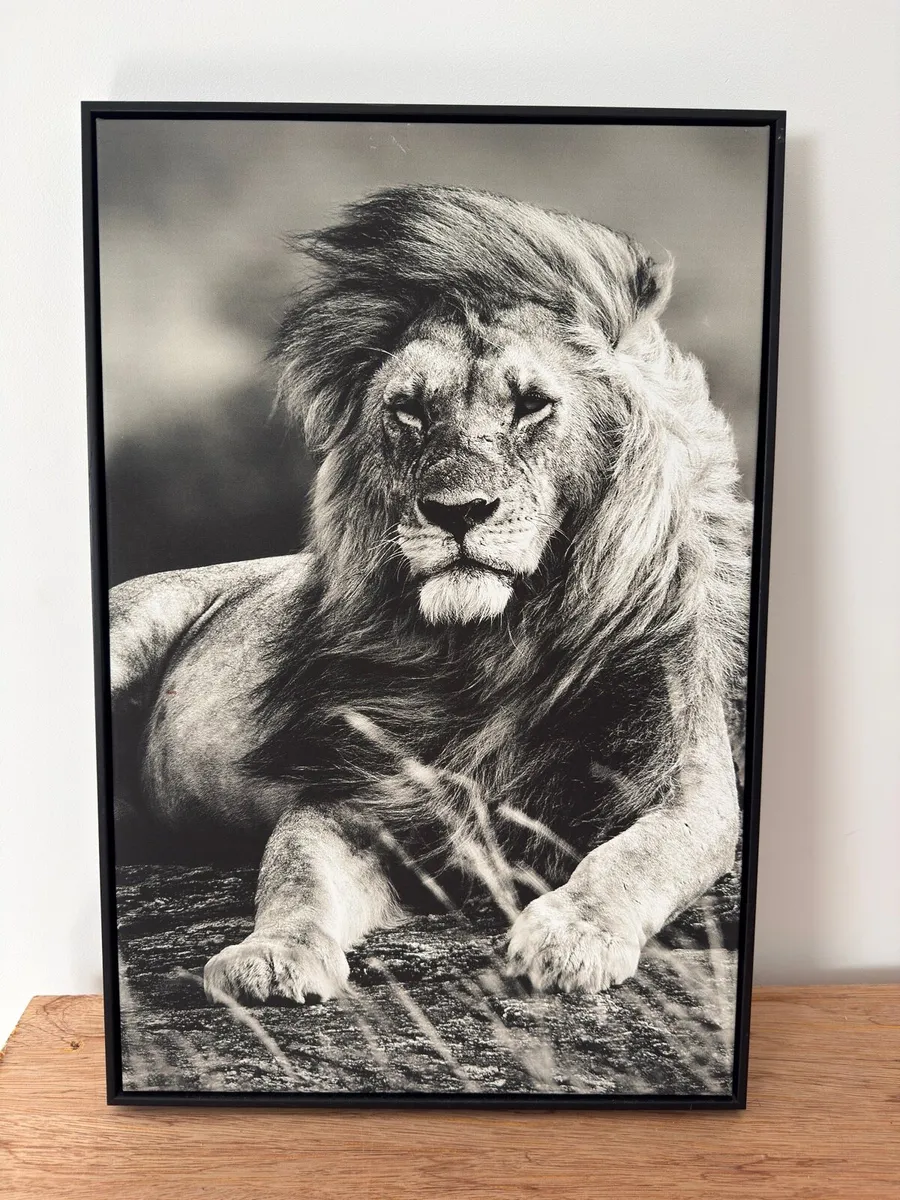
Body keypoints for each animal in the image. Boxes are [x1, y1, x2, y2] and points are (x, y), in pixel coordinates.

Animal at [109, 185, 750, 1004]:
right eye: (409, 409)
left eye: (532, 405)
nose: (457, 511)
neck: (496, 648)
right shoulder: (360, 794)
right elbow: (295, 875)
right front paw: (272, 955)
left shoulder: (683, 779)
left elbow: (640, 854)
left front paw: (570, 935)